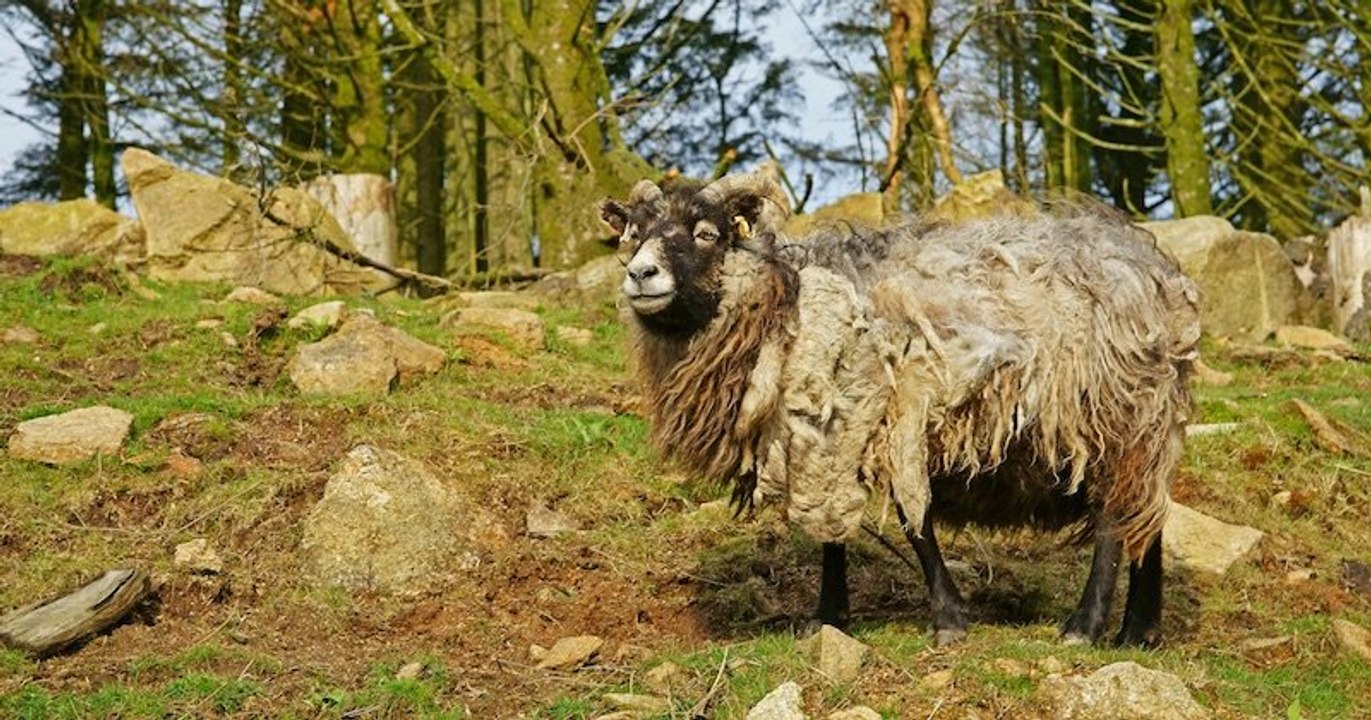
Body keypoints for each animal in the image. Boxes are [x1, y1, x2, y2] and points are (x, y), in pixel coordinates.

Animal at [599, 172, 1201, 647]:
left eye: (706, 234)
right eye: (634, 235)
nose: (640, 275)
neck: (785, 300)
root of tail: (1159, 273)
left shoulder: (888, 417)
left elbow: (916, 526)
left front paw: (948, 618)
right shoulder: (826, 437)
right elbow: (833, 533)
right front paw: (827, 618)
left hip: (1107, 410)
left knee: (1112, 519)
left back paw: (1087, 625)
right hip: (1144, 419)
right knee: (1146, 518)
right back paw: (1141, 631)